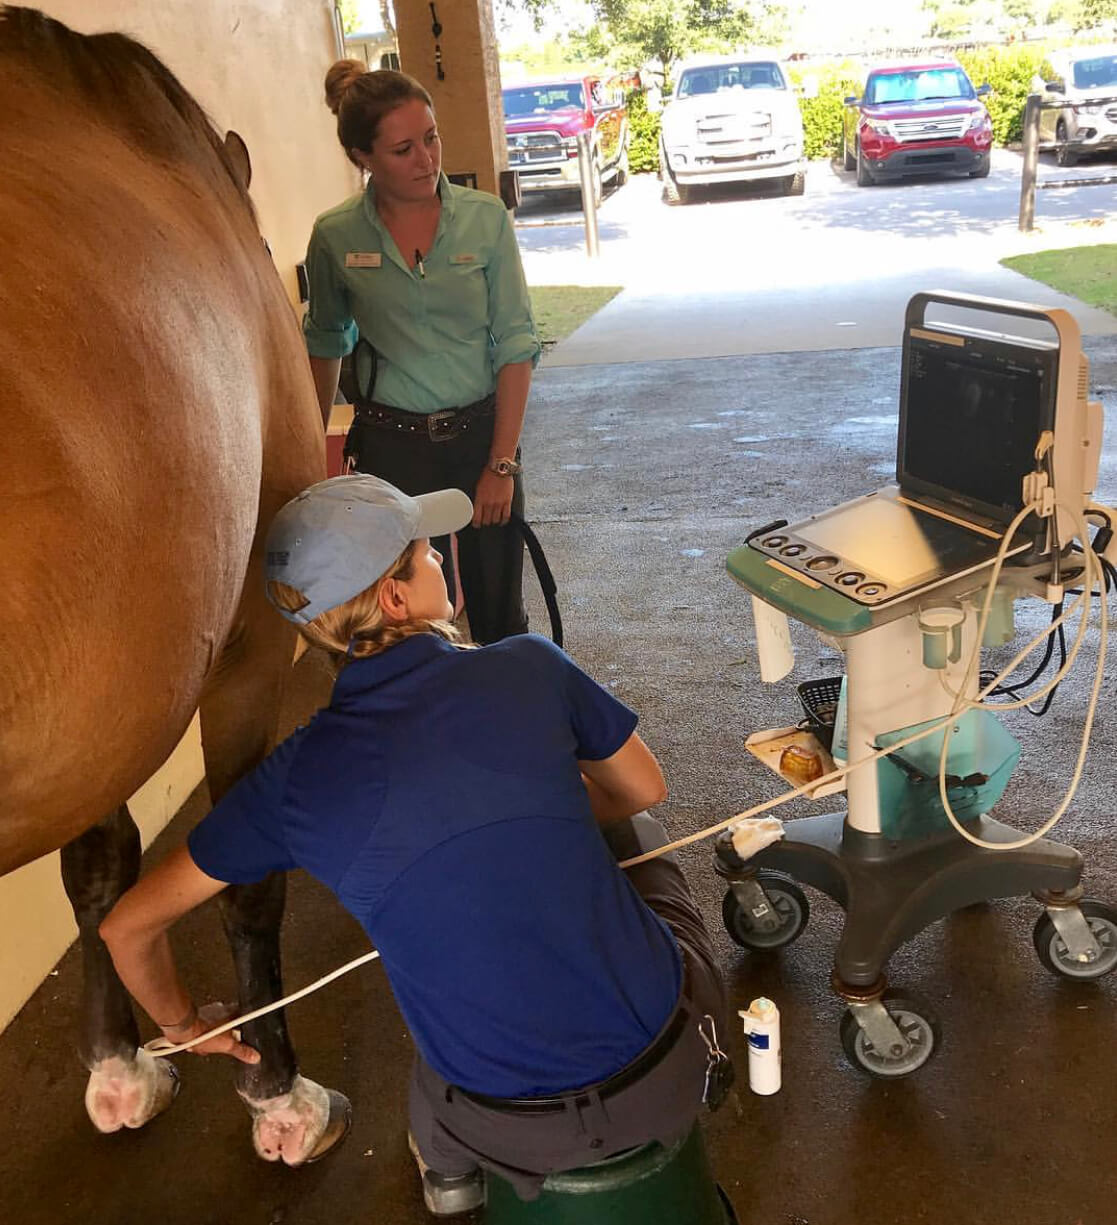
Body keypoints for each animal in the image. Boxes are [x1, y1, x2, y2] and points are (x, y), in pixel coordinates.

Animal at [0, 7, 348, 1165]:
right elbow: (238, 875)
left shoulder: (103, 690)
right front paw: (278, 1091)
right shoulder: (242, 646)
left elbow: (99, 869)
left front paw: (119, 1064)